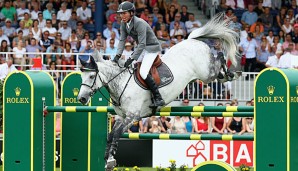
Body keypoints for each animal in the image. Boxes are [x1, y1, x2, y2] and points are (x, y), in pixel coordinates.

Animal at [77, 14, 240, 170]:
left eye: (91, 76)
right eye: (82, 76)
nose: (81, 99)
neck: (122, 82)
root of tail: (192, 40)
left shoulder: (132, 116)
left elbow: (116, 134)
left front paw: (110, 161)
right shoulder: (121, 116)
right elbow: (111, 135)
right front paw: (106, 158)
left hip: (206, 74)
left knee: (219, 59)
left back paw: (232, 73)